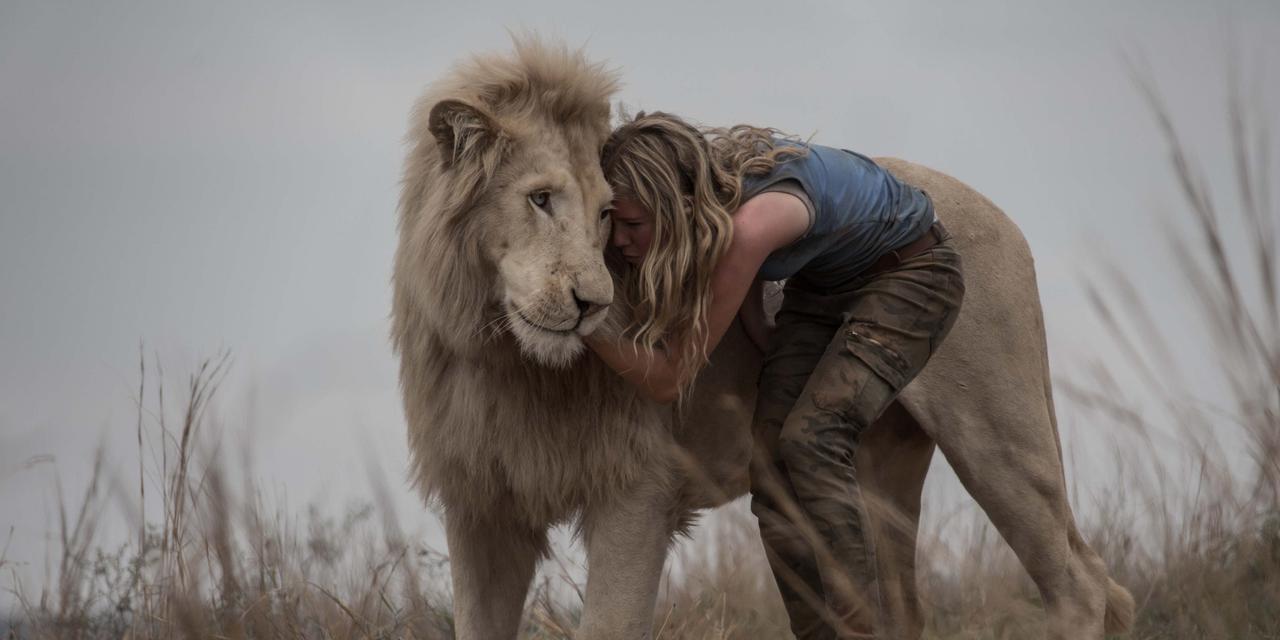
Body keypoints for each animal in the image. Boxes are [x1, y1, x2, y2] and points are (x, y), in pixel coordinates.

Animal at [391, 38, 1135, 639]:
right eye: (540, 198)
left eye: (606, 213)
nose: (591, 304)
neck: (499, 357)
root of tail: (999, 215)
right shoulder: (480, 508)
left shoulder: (636, 491)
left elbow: (608, 623)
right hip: (884, 462)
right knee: (903, 602)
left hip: (994, 429)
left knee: (1083, 585)